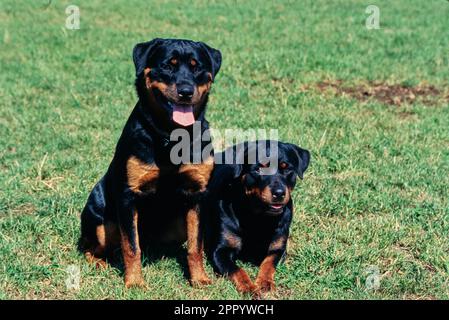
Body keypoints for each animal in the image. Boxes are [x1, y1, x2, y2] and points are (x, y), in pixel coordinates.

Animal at [80, 37, 222, 288]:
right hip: (101, 221)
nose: (186, 91)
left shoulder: (198, 195)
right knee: (94, 246)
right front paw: (135, 282)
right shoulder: (128, 196)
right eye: (167, 66)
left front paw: (199, 278)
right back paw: (99, 263)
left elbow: (195, 245)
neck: (171, 137)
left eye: (196, 67)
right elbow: (131, 246)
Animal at [206, 140, 308, 296]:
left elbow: (268, 263)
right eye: (258, 169)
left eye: (286, 169)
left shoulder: (278, 248)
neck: (257, 218)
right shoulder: (220, 251)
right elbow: (237, 270)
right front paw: (249, 287)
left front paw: (265, 283)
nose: (279, 193)